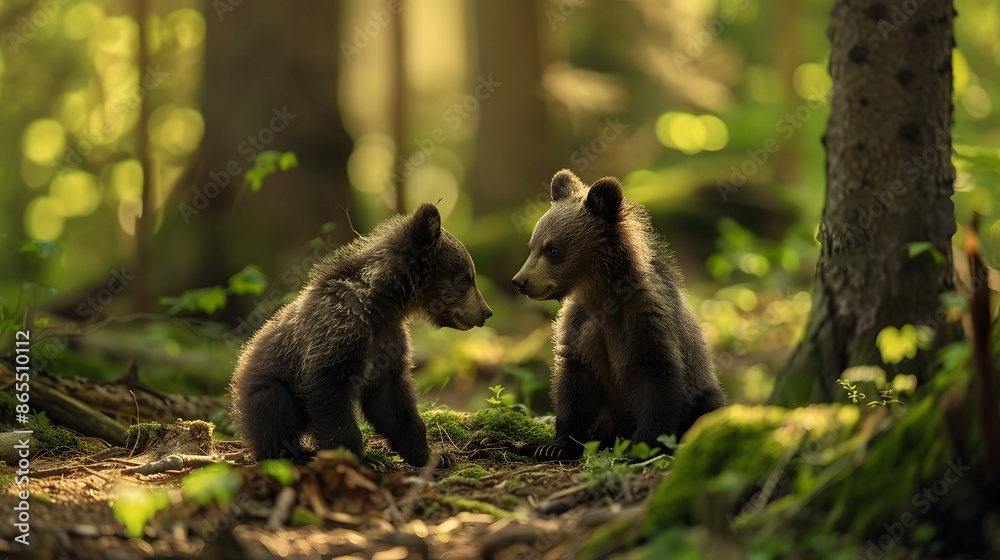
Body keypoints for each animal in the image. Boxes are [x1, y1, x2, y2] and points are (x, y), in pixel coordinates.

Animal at [230, 203, 492, 467]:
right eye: (464, 278)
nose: (485, 312)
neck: (381, 306)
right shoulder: (336, 336)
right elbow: (329, 397)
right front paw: (362, 459)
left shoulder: (388, 343)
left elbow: (393, 403)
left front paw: (430, 456)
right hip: (268, 384)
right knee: (274, 410)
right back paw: (296, 455)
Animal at [511, 169, 726, 460]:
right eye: (532, 245)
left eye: (553, 249)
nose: (520, 281)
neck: (603, 296)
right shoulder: (580, 329)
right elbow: (573, 385)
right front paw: (555, 445)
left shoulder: (647, 322)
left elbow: (659, 380)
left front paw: (640, 448)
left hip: (702, 392)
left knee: (708, 408)